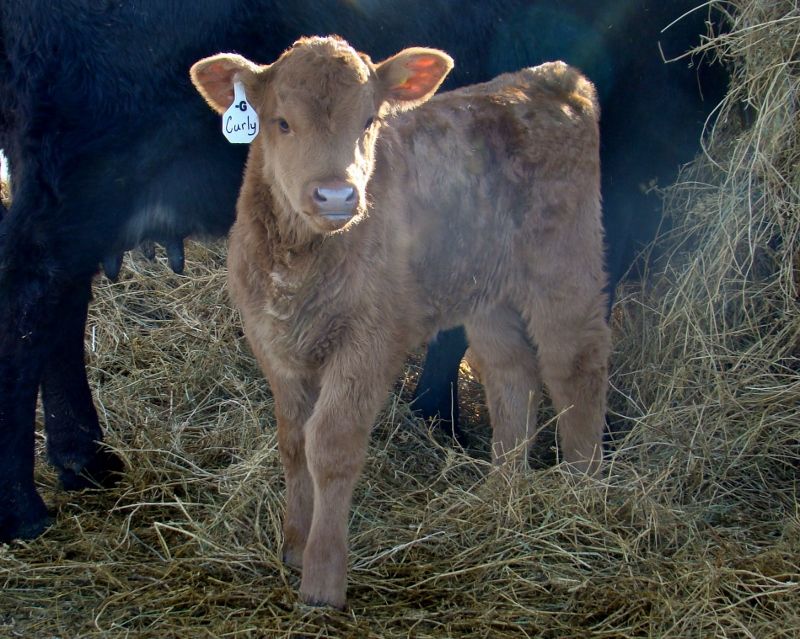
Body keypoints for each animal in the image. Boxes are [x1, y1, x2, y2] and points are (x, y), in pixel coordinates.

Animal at [0, 0, 724, 544]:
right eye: (282, 121)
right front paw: (445, 419)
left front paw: (437, 417)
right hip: (72, 194)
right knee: (29, 308)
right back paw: (23, 506)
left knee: (59, 314)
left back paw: (85, 461)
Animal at [190, 35, 610, 608]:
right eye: (281, 122)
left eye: (368, 121)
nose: (337, 194)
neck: (298, 264)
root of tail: (552, 77)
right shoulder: (272, 344)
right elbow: (293, 441)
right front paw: (293, 545)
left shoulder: (371, 341)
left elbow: (330, 444)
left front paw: (322, 580)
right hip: (487, 291)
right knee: (511, 373)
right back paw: (501, 493)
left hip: (565, 262)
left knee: (576, 365)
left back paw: (579, 494)